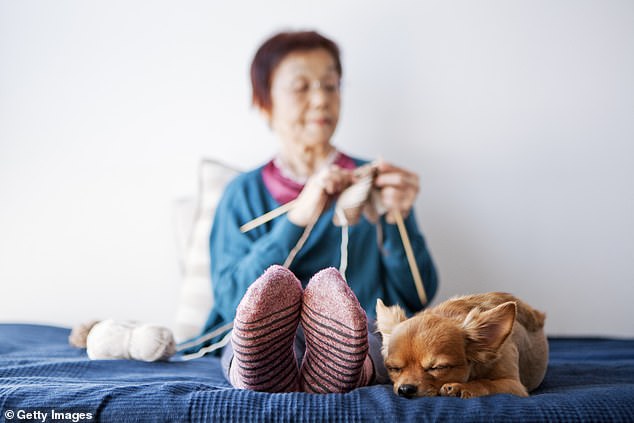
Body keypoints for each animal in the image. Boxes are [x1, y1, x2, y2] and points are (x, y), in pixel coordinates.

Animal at [376, 294, 548, 400]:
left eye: (438, 368)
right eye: (394, 369)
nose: (405, 389)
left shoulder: (516, 386)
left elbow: (486, 382)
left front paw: (460, 387)